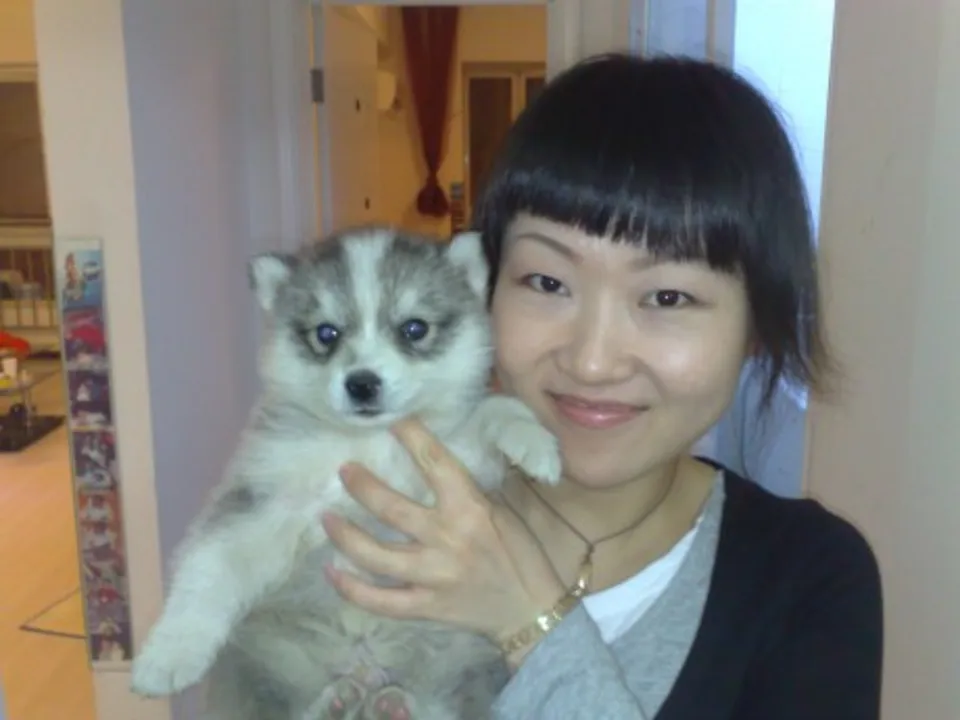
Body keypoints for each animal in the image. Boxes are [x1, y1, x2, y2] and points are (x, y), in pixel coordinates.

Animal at [130, 227, 563, 719]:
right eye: (326, 333)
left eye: (414, 328)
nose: (362, 383)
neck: (367, 442)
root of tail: (365, 670)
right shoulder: (264, 498)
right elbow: (209, 564)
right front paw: (168, 653)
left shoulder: (455, 466)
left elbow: (494, 409)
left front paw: (535, 442)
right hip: (260, 661)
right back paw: (337, 702)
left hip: (468, 664)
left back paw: (393, 705)